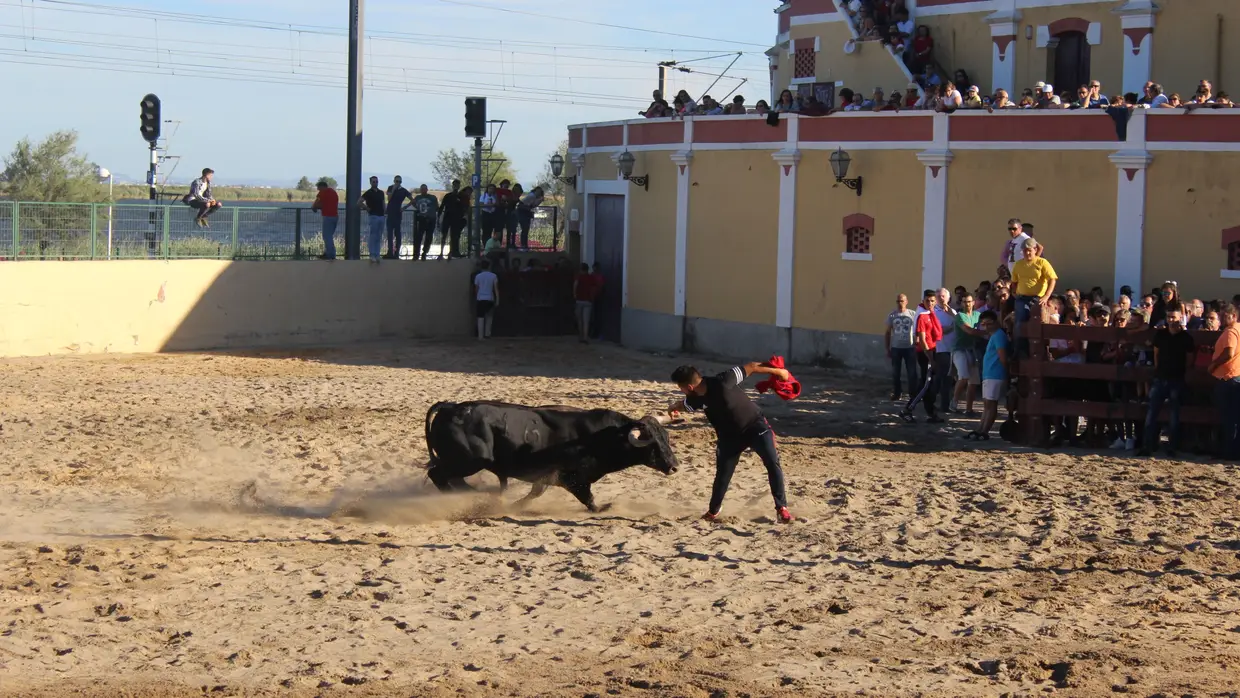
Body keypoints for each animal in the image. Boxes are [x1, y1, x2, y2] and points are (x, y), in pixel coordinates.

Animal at [424, 401, 679, 510]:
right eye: (653, 444)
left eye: (666, 438)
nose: (674, 466)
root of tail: (450, 407)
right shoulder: (572, 478)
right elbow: (589, 500)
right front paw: (604, 507)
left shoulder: (548, 476)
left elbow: (535, 492)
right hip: (469, 461)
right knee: (438, 475)